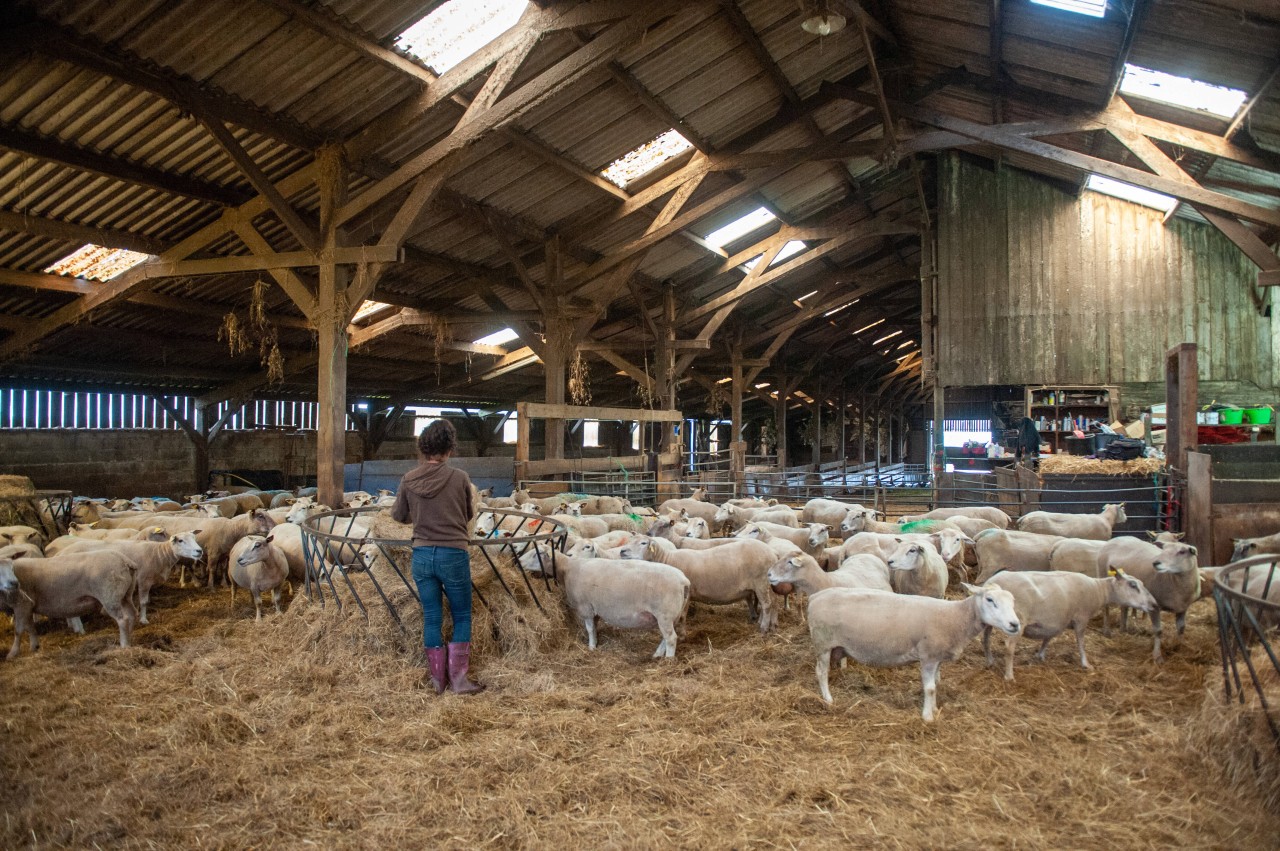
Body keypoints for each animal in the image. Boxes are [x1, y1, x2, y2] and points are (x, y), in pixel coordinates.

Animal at [808, 580, 1018, 721]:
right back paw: (828, 699)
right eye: (990, 599)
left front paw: (934, 710)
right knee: (821, 672)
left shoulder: (937, 658)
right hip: (822, 643)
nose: (1014, 624)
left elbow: (936, 685)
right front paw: (927, 717)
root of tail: (814, 597)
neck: (956, 618)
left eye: (1013, 601)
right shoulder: (928, 656)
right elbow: (930, 688)